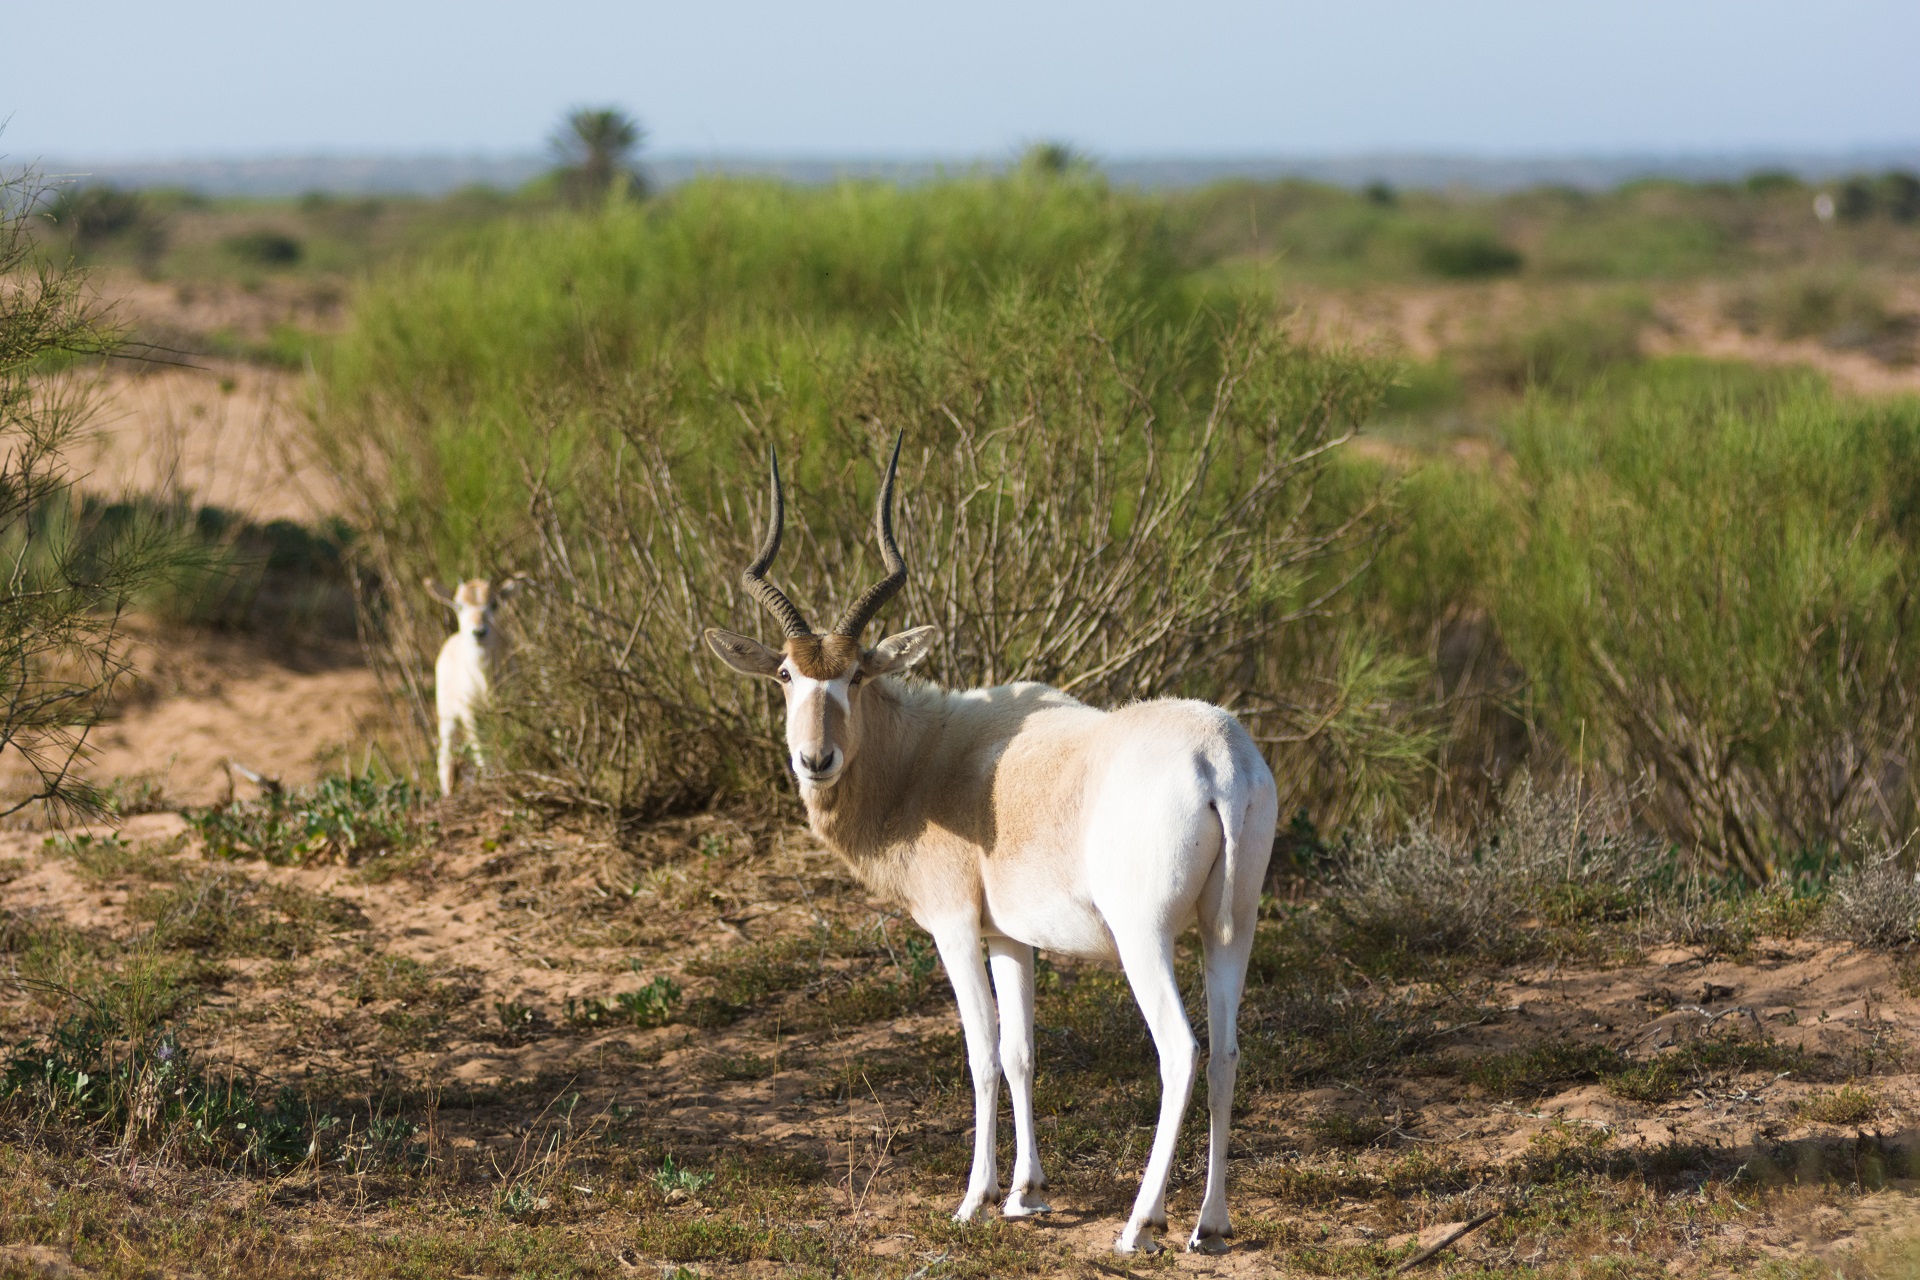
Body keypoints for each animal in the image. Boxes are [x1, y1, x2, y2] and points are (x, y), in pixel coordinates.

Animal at [424, 579, 522, 794]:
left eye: (494, 604)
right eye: (459, 605)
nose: (478, 631)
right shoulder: (469, 712)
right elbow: (481, 749)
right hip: (446, 714)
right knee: (445, 756)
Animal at [706, 437, 1274, 1251]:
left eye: (856, 673)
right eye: (786, 672)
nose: (817, 760)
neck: (931, 754)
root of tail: (1218, 757)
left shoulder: (953, 927)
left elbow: (979, 1052)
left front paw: (975, 1198)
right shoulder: (1011, 937)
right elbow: (1021, 1052)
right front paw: (1027, 1195)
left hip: (1145, 936)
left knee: (1181, 1049)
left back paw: (1141, 1223)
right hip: (1232, 927)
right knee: (1226, 1051)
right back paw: (1212, 1225)